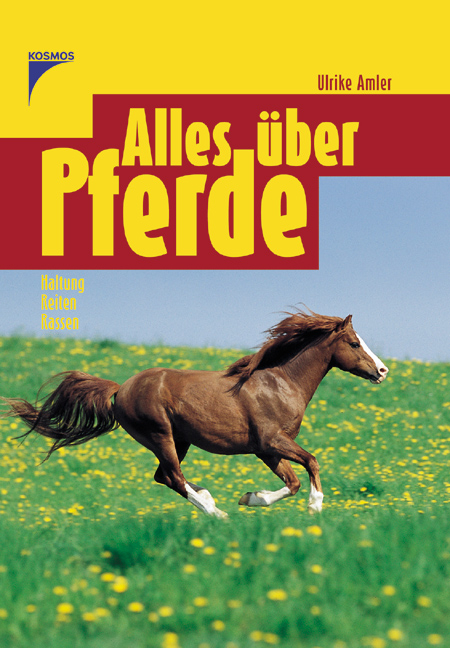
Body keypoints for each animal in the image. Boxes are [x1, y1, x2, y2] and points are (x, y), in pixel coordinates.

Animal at [2, 310, 388, 518]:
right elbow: (312, 462)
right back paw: (217, 513)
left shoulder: (265, 450)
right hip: (160, 435)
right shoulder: (271, 441)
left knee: (165, 476)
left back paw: (209, 498)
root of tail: (120, 388)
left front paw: (251, 498)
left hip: (180, 440)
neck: (280, 382)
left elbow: (291, 482)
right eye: (354, 343)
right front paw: (315, 507)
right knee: (172, 477)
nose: (383, 371)